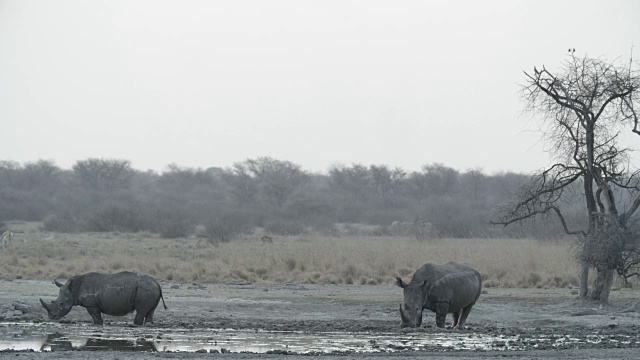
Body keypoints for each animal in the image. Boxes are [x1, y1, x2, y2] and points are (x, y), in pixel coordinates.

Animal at [38, 270, 166, 326]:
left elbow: (95, 316)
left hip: (146, 289)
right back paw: (148, 324)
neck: (73, 289)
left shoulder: (91, 304)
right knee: (150, 310)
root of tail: (157, 283)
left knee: (141, 310)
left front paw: (98, 324)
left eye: (61, 304)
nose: (51, 317)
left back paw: (136, 325)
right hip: (150, 289)